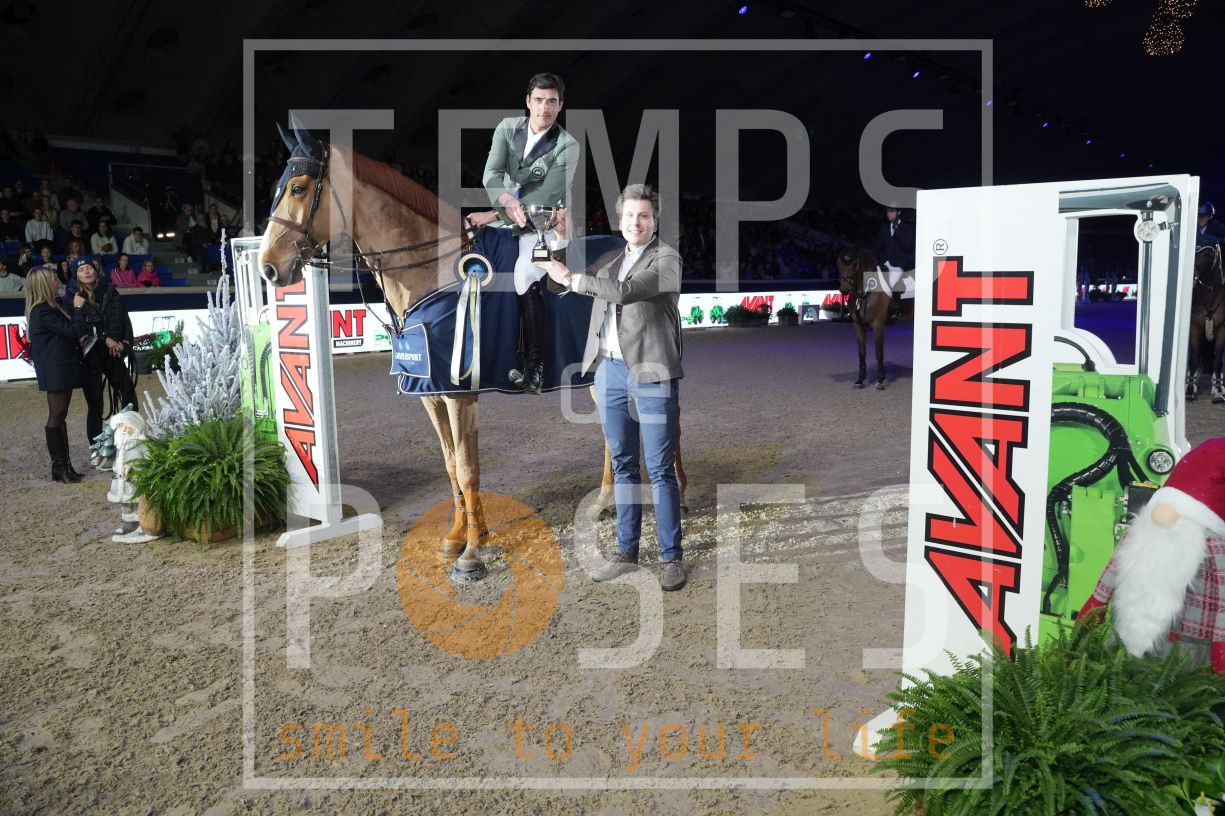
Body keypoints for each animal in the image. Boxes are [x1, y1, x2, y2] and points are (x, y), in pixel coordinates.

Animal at [259, 124, 686, 579]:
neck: (430, 270)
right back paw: (605, 502)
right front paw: (458, 538)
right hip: (595, 373)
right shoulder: (429, 392)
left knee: (666, 423)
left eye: (299, 188)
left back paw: (678, 490)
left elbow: (467, 469)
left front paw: (472, 554)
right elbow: (451, 467)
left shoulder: (459, 393)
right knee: (612, 433)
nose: (268, 267)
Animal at [835, 248, 893, 389]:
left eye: (855, 264)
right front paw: (860, 380)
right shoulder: (858, 326)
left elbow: (879, 353)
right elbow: (862, 353)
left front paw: (880, 381)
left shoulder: (878, 326)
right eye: (838, 265)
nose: (844, 289)